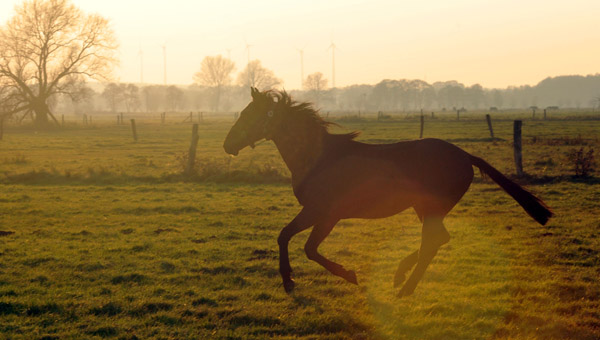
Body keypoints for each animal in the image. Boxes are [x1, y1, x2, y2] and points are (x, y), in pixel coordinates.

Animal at [223, 87, 552, 298]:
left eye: (251, 114)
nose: (228, 144)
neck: (318, 158)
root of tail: (464, 156)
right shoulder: (314, 212)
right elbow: (285, 237)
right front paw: (289, 281)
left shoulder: (325, 213)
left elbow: (308, 248)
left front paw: (347, 274)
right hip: (424, 209)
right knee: (439, 239)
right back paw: (400, 275)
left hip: (430, 208)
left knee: (432, 242)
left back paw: (405, 287)